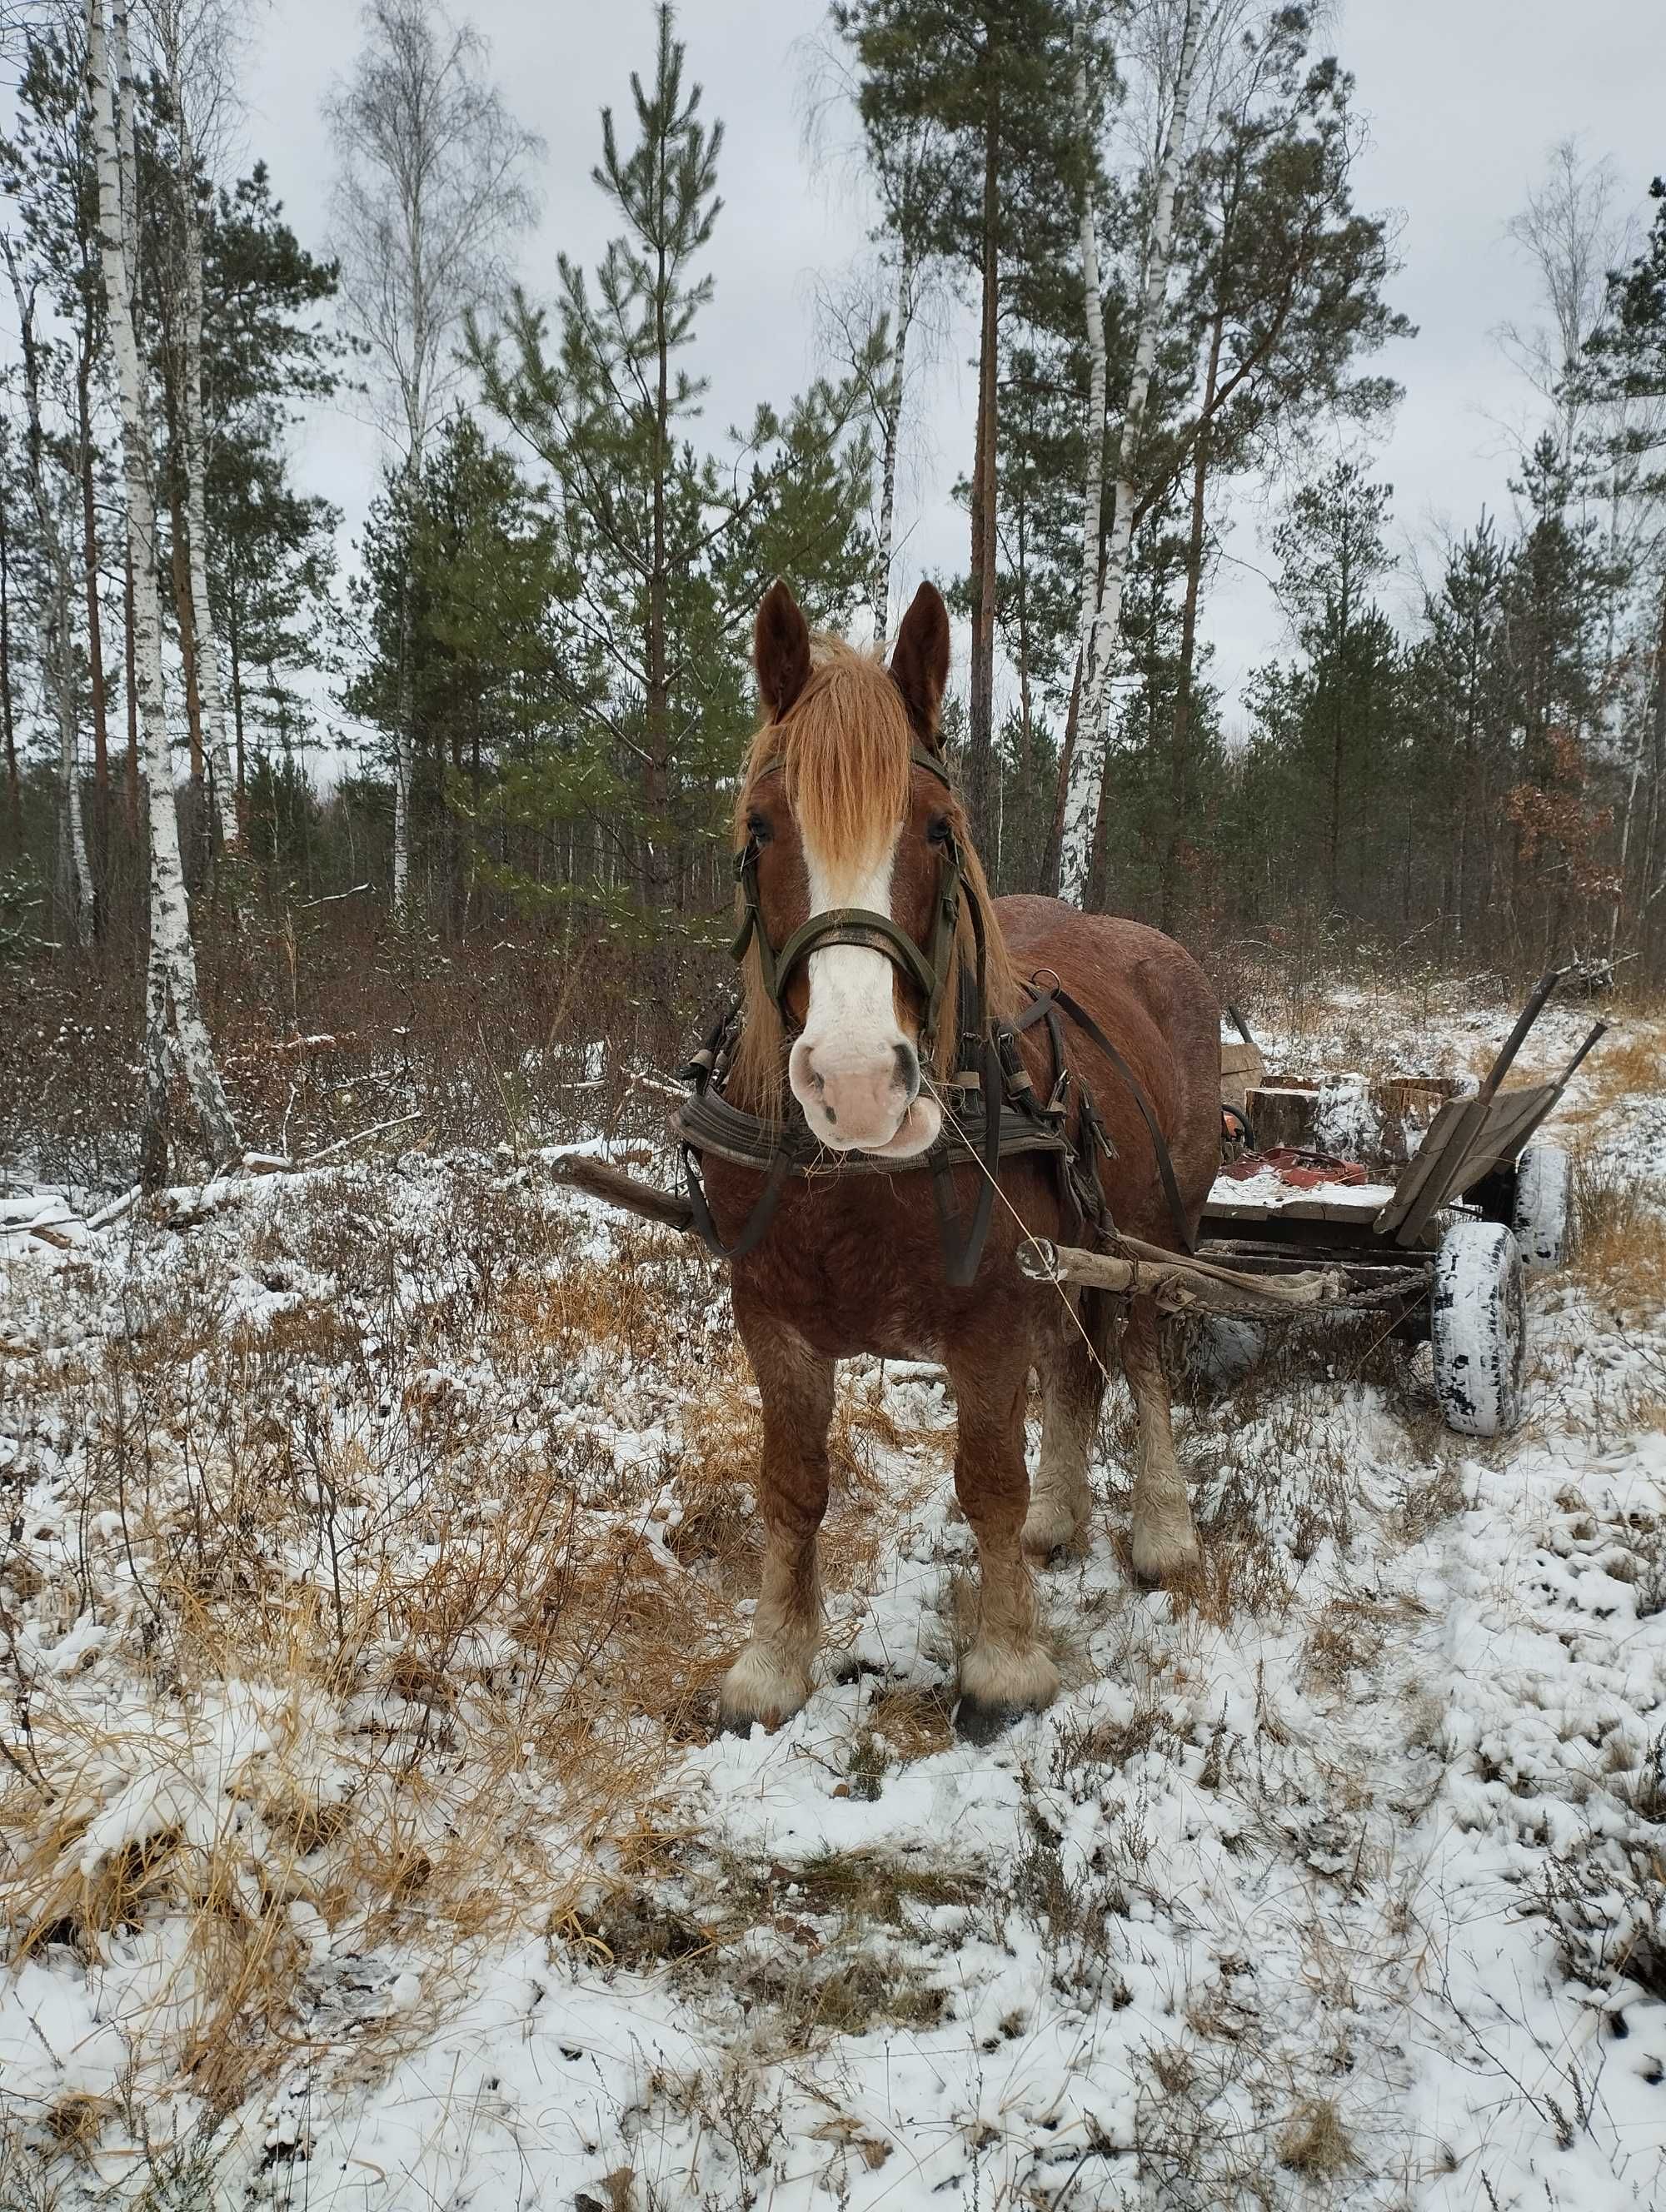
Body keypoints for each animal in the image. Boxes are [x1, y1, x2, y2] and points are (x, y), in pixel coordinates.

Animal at [703, 575, 1221, 1742]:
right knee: (1077, 1366)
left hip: (1154, 1236)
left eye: (938, 831)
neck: (854, 1179)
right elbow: (791, 1485)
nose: (856, 1081)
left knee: (1142, 1360)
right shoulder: (770, 1315)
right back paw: (1058, 1517)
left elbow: (985, 1476)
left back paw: (1161, 1529)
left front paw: (1005, 1662)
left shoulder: (988, 1315)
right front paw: (772, 1661)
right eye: (759, 829)